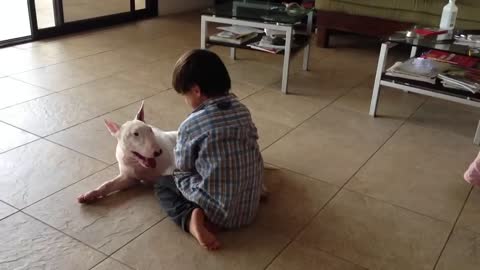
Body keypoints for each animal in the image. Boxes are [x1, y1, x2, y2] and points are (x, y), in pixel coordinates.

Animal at [77, 102, 268, 204]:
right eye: (135, 134)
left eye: (150, 130)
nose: (158, 151)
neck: (139, 165)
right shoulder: (128, 177)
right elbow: (108, 184)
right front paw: (90, 195)